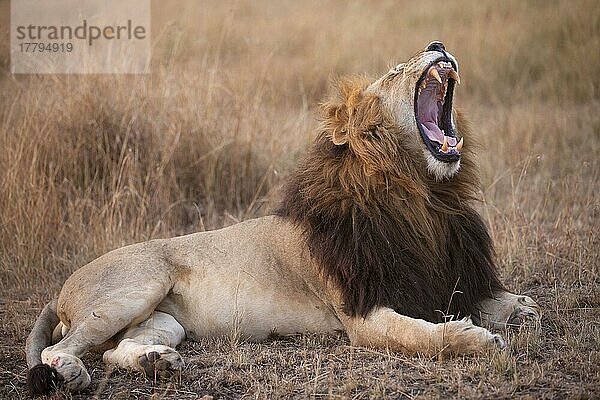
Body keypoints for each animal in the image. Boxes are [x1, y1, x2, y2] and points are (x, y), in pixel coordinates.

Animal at [24, 40, 540, 394]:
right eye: (394, 71)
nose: (437, 45)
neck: (425, 196)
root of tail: (61, 290)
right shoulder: (362, 314)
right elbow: (423, 336)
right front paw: (474, 338)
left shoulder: (443, 274)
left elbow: (502, 302)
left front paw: (519, 308)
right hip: (135, 287)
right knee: (58, 348)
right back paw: (72, 371)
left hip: (165, 320)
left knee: (118, 350)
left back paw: (158, 362)